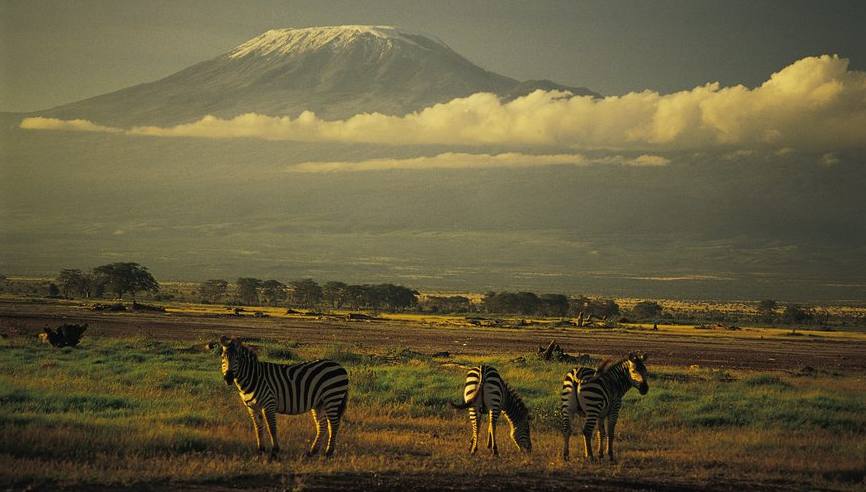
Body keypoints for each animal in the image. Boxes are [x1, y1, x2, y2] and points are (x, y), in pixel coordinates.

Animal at [216, 336, 348, 460]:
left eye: (237, 358)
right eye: (222, 357)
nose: (228, 378)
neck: (254, 377)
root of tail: (340, 366)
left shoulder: (268, 404)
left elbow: (272, 428)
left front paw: (275, 452)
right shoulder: (252, 407)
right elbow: (258, 428)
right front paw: (260, 451)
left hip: (332, 398)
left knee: (334, 424)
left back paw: (328, 453)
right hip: (319, 403)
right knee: (323, 425)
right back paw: (312, 452)